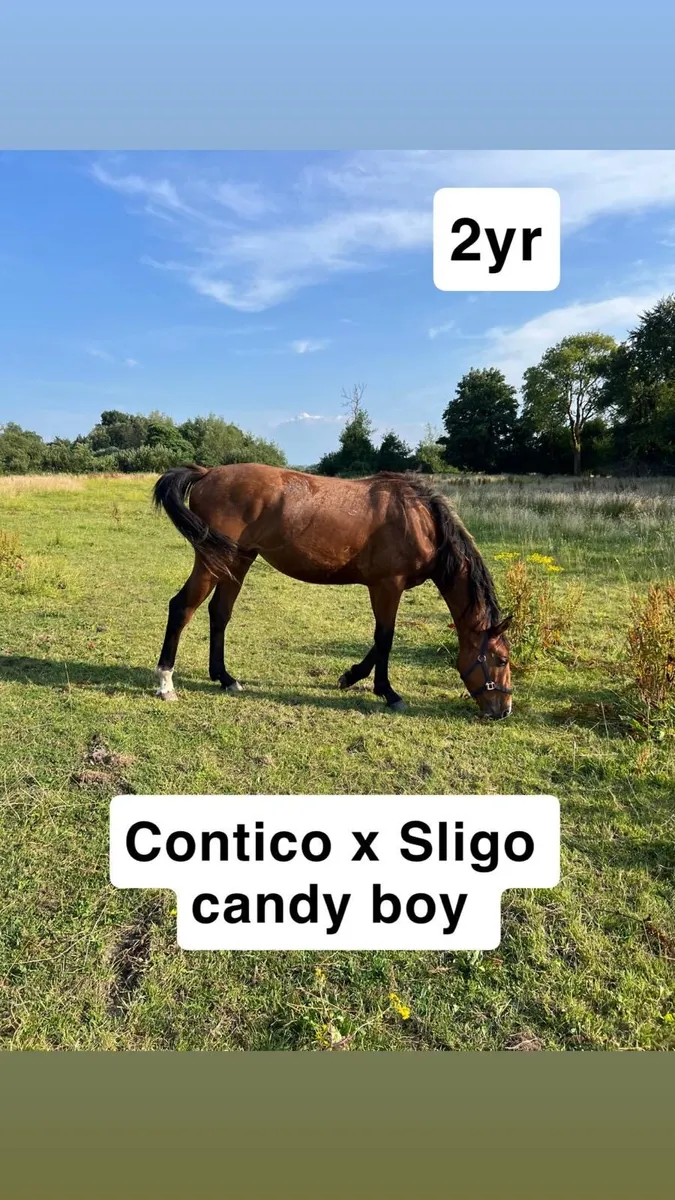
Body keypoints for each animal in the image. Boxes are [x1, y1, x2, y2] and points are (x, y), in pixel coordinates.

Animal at [152, 464, 513, 718]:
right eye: (501, 658)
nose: (503, 710)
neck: (420, 519)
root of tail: (207, 473)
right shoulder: (387, 586)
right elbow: (385, 637)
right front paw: (388, 693)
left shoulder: (385, 588)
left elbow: (379, 640)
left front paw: (350, 677)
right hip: (212, 562)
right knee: (182, 607)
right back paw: (166, 683)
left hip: (237, 561)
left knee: (219, 613)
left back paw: (225, 678)